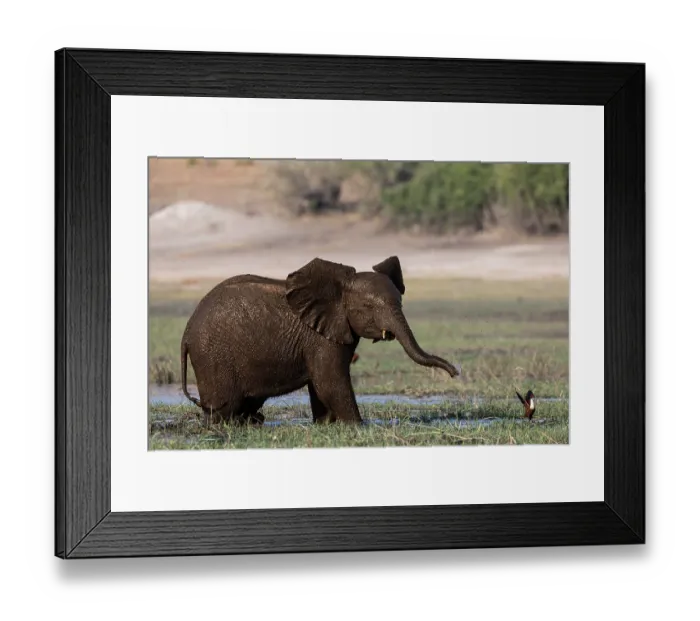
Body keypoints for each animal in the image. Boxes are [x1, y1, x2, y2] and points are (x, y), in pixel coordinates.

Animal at [180, 255, 460, 425]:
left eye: (400, 302)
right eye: (368, 307)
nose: (455, 372)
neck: (340, 286)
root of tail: (186, 331)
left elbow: (321, 384)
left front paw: (325, 426)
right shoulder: (320, 337)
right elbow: (330, 382)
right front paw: (359, 427)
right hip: (212, 357)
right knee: (223, 408)